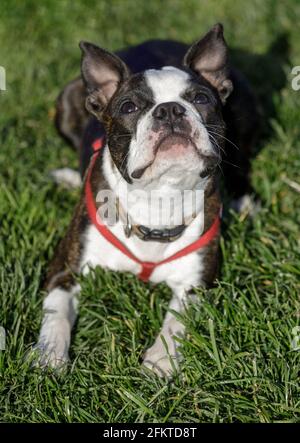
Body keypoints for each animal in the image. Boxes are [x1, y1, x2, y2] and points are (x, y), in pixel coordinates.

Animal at [35, 24, 258, 378]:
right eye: (128, 107)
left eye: (201, 98)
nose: (169, 110)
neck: (160, 196)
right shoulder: (64, 270)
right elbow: (55, 311)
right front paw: (49, 355)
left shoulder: (195, 283)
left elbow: (178, 319)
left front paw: (161, 359)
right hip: (66, 100)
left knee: (241, 159)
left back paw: (246, 201)